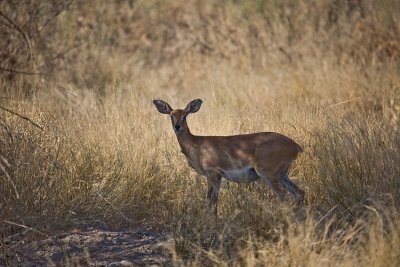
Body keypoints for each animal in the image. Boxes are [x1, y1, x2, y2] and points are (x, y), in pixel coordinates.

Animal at [152, 99, 304, 215]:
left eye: (185, 116)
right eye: (171, 116)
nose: (177, 126)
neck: (197, 144)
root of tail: (294, 145)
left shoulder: (213, 174)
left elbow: (211, 201)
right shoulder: (216, 176)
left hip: (268, 174)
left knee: (284, 197)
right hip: (283, 174)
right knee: (299, 193)